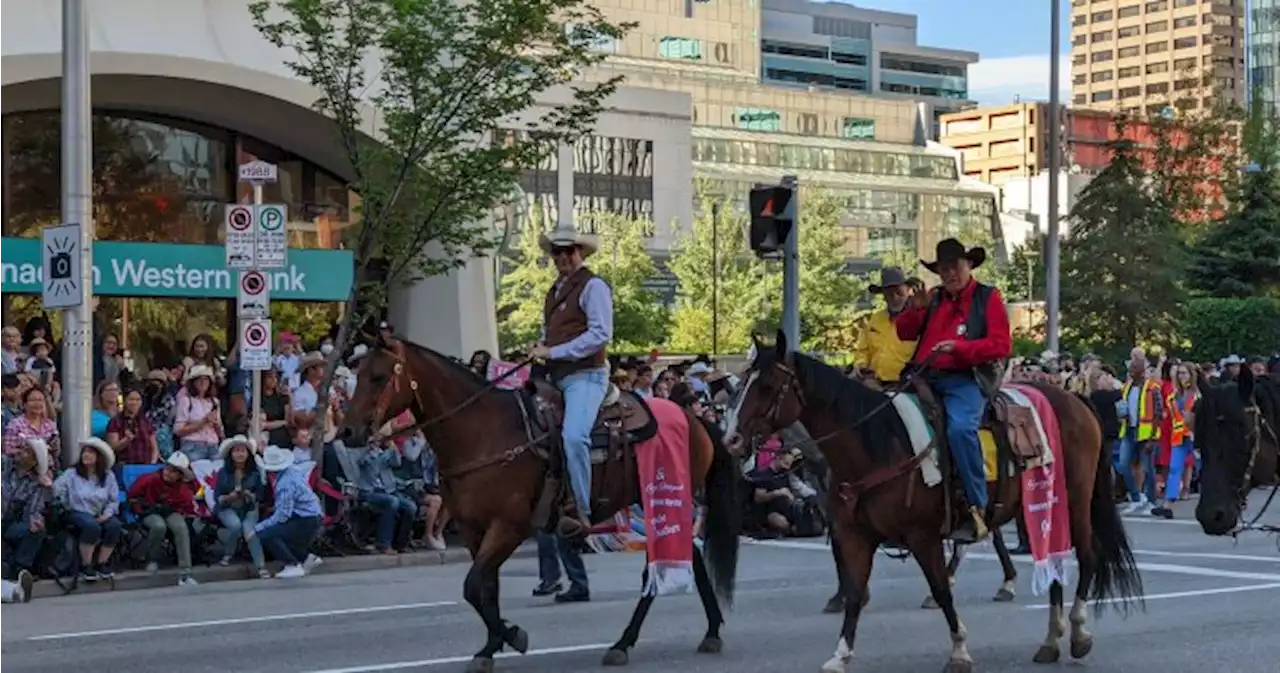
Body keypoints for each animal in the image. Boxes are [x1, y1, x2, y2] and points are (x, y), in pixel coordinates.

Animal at [343, 342, 742, 673]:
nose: (348, 432)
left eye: (378, 376)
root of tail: (693, 418)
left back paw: (624, 643)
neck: (483, 432)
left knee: (657, 571)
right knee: (689, 556)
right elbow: (485, 588)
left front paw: (511, 636)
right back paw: (710, 631)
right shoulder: (474, 529)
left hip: (662, 496)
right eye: (358, 374)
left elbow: (473, 586)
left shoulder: (509, 527)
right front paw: (491, 646)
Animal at [721, 332, 1141, 673]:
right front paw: (840, 654)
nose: (731, 439)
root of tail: (1076, 399)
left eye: (768, 386)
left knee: (1087, 555)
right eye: (743, 382)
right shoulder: (855, 535)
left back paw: (1078, 633)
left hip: (1074, 501)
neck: (878, 444)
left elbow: (941, 590)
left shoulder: (922, 536)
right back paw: (1050, 640)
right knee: (1049, 562)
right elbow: (855, 592)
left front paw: (959, 651)